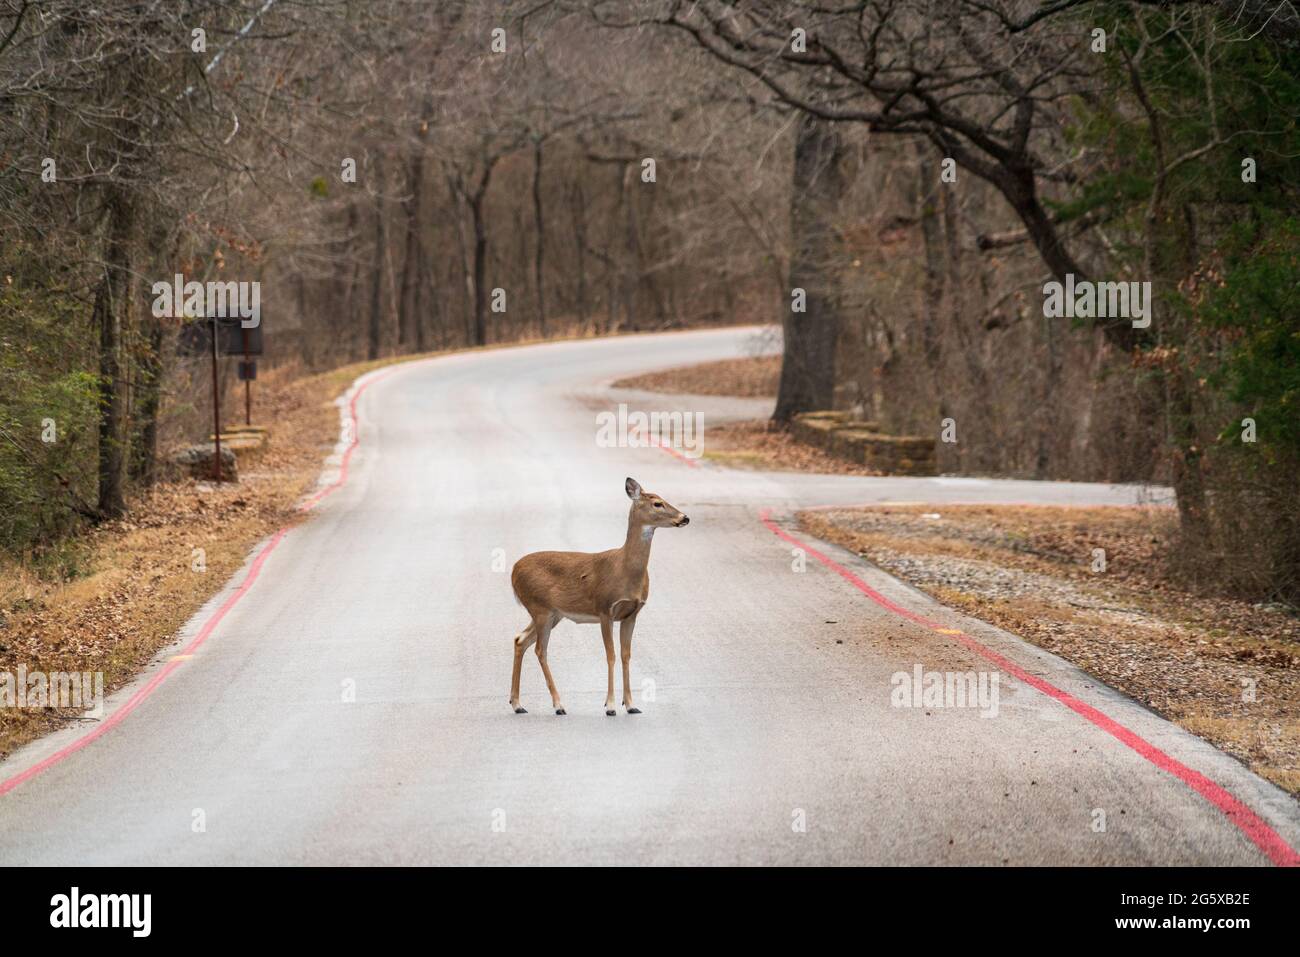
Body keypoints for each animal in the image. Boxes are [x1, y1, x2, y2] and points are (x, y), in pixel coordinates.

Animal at [509, 475, 691, 712]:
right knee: (540, 649)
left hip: (553, 613)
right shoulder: (605, 608)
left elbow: (625, 655)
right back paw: (558, 704)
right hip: (539, 607)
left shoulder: (632, 614)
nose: (684, 517)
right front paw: (611, 705)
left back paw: (517, 703)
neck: (625, 570)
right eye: (657, 503)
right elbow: (610, 655)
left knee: (520, 639)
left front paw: (630, 704)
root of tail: (513, 570)